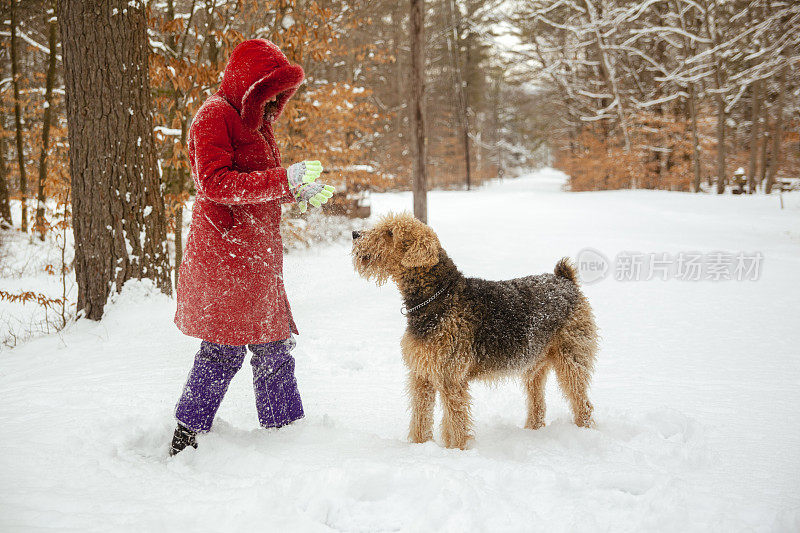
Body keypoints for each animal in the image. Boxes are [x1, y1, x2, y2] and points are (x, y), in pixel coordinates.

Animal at [354, 212, 596, 448]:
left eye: (390, 232)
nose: (356, 234)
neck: (438, 296)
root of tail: (565, 280)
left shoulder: (451, 378)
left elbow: (455, 422)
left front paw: (458, 450)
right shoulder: (422, 375)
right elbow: (421, 418)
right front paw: (419, 447)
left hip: (571, 360)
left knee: (583, 403)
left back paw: (584, 432)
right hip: (534, 366)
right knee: (538, 405)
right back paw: (531, 432)